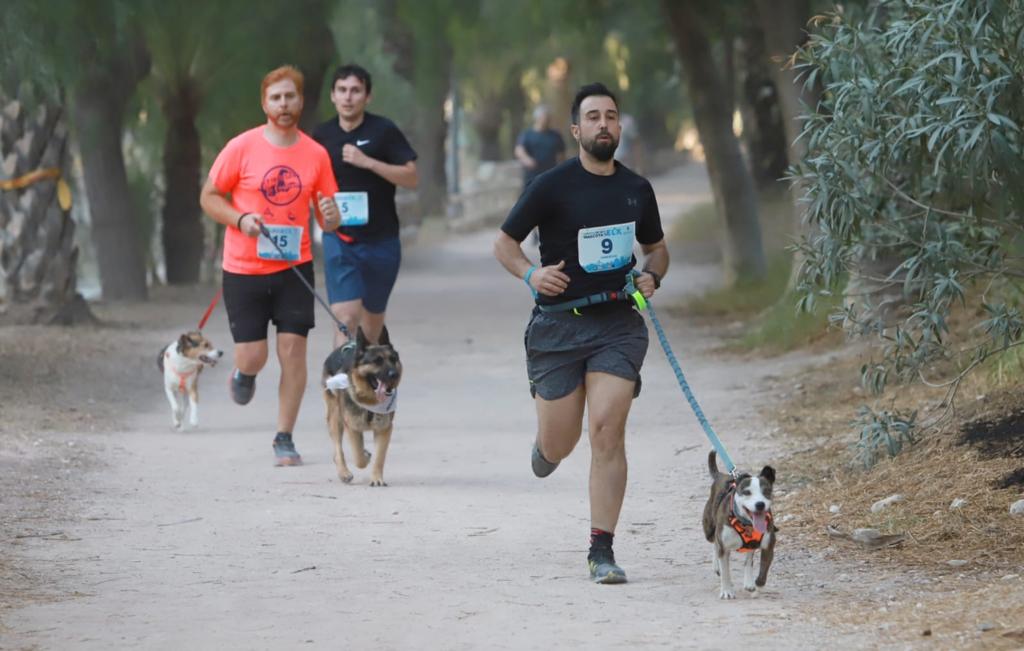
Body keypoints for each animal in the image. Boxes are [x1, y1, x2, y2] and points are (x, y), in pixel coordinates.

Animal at [321, 327, 401, 485]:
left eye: (393, 359)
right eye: (377, 361)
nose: (394, 374)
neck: (369, 400)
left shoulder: (384, 429)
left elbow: (379, 457)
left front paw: (377, 479)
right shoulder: (352, 428)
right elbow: (358, 458)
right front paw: (364, 457)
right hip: (335, 419)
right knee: (338, 450)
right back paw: (344, 472)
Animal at [704, 452, 774, 601]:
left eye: (766, 491)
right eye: (747, 492)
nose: (760, 504)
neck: (747, 524)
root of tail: (722, 475)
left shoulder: (768, 547)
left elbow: (762, 574)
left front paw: (756, 588)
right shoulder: (724, 546)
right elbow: (725, 571)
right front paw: (726, 591)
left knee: (749, 557)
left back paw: (748, 582)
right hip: (709, 530)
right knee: (714, 542)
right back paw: (716, 565)